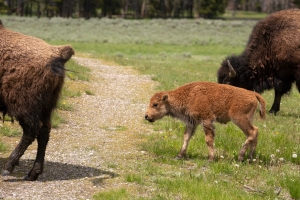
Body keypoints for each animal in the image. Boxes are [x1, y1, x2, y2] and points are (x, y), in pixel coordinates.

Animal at [0, 21, 74, 180]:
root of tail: (58, 52)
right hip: (46, 107)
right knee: (44, 131)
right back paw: (33, 173)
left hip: (24, 105)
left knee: (32, 130)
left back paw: (8, 168)